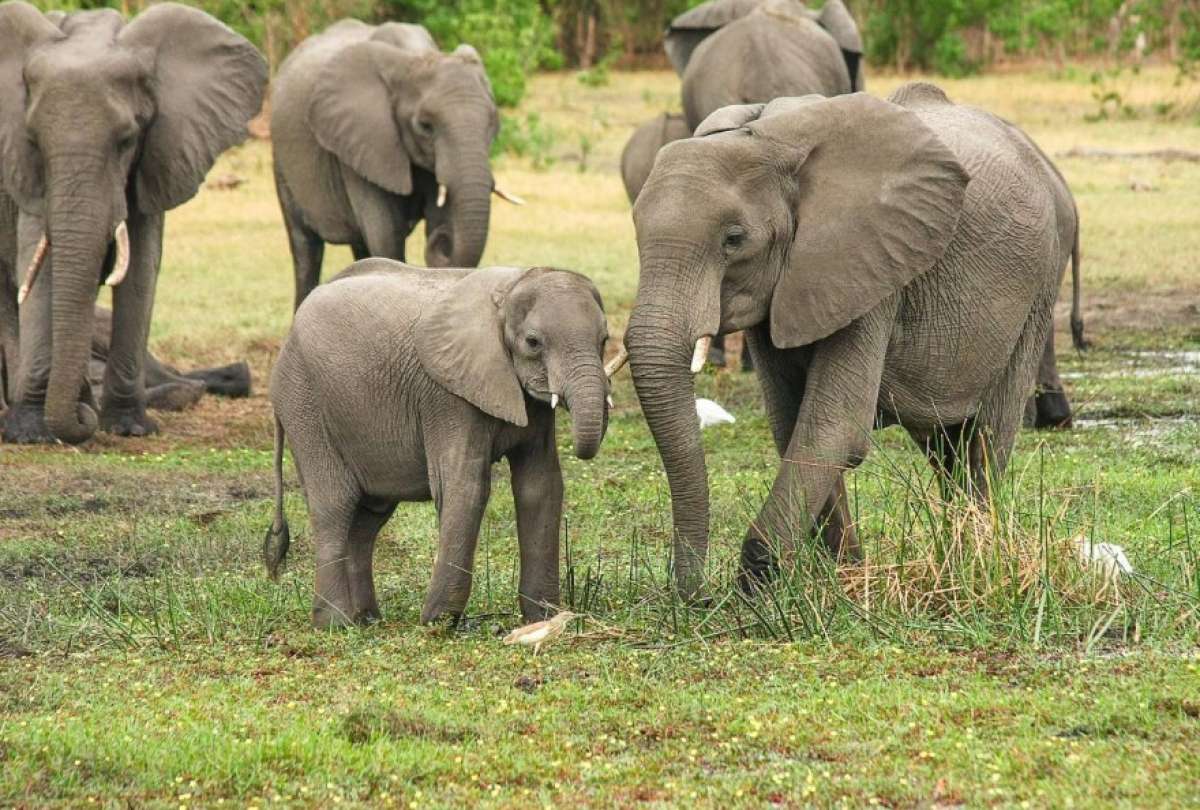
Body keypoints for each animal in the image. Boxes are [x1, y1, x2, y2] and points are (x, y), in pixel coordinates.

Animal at [0, 2, 267, 445]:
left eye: (127, 140)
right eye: (34, 141)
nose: (80, 422)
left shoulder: (157, 154)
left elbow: (142, 267)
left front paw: (128, 427)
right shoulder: (24, 172)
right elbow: (37, 267)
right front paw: (31, 433)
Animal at [264, 259, 614, 629]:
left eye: (604, 339)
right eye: (533, 342)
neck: (509, 290)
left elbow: (541, 486)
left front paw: (543, 619)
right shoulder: (447, 396)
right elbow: (466, 486)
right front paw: (438, 622)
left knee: (368, 518)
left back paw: (367, 620)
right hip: (303, 403)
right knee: (334, 505)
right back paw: (335, 624)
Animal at [272, 19, 519, 311]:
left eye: (493, 122)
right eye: (425, 126)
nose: (442, 241)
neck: (415, 57)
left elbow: (435, 218)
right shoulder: (363, 143)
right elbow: (385, 235)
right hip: (282, 163)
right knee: (306, 249)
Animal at [622, 84, 1081, 596]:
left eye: (734, 239)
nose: (697, 597)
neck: (769, 141)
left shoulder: (873, 267)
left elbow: (834, 425)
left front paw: (757, 588)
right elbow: (791, 423)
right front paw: (843, 577)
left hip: (1040, 284)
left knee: (986, 435)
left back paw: (974, 562)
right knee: (946, 446)